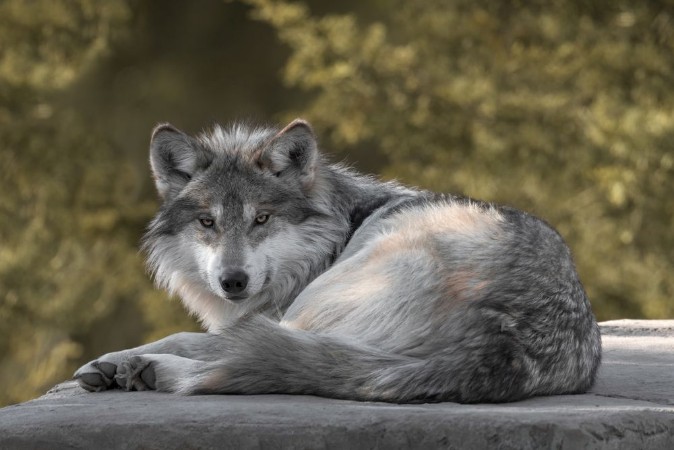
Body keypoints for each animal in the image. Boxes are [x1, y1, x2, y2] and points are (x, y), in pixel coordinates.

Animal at [74, 119, 601, 403]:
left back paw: (149, 369)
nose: (233, 282)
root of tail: (505, 339)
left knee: (244, 353)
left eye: (262, 219)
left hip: (325, 300)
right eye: (208, 222)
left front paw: (116, 361)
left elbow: (190, 337)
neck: (335, 230)